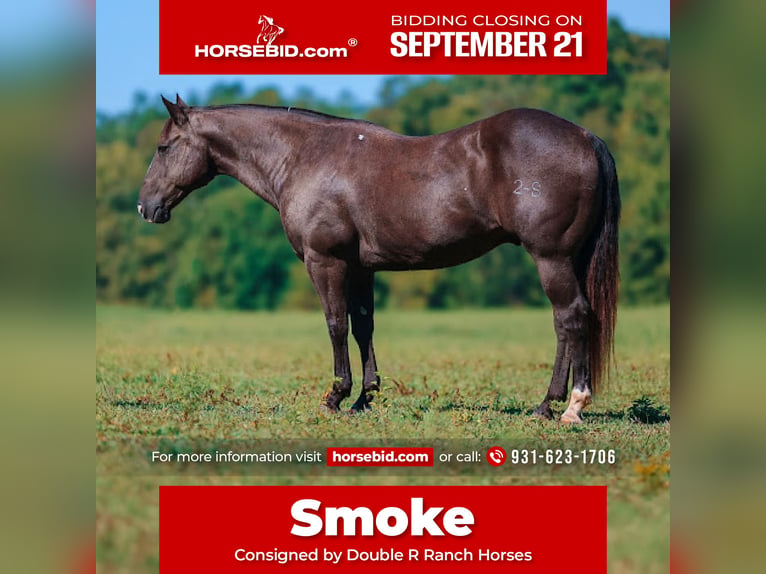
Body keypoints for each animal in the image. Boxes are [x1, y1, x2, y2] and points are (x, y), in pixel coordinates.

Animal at [138, 95, 620, 424]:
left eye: (164, 148)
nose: (145, 207)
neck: (304, 157)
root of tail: (585, 137)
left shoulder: (325, 262)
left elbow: (336, 324)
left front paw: (335, 396)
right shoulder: (361, 268)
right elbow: (363, 326)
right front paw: (364, 398)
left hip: (551, 257)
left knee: (572, 318)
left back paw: (570, 405)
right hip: (567, 260)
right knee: (566, 323)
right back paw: (546, 405)